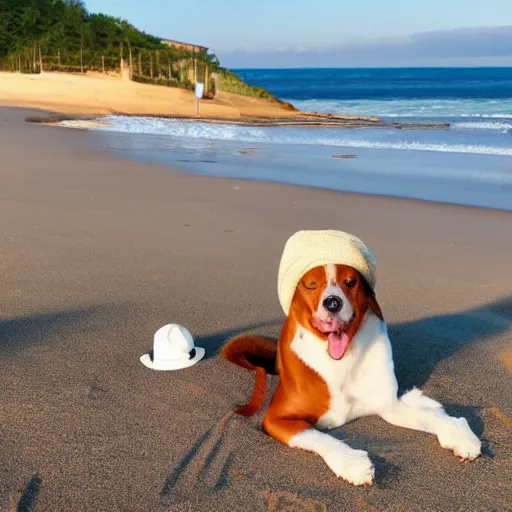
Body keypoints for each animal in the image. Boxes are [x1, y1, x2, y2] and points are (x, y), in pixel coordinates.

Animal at [222, 230, 482, 486]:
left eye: (350, 282)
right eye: (311, 285)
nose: (333, 303)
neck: (340, 361)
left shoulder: (387, 404)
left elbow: (428, 417)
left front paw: (458, 434)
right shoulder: (277, 417)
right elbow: (316, 436)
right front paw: (352, 463)